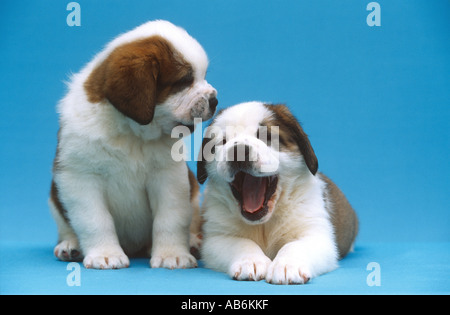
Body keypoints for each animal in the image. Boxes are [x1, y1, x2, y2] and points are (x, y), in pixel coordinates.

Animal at [49, 20, 218, 270]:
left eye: (202, 76)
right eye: (183, 81)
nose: (214, 100)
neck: (130, 130)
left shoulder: (168, 177)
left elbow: (170, 218)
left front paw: (172, 254)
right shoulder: (80, 178)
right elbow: (95, 219)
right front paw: (105, 253)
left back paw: (193, 242)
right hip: (54, 198)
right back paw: (71, 245)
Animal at [197, 102, 358, 286]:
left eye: (266, 136)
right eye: (223, 142)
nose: (238, 151)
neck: (264, 223)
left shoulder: (316, 233)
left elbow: (295, 245)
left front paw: (287, 265)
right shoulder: (216, 237)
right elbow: (240, 243)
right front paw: (250, 261)